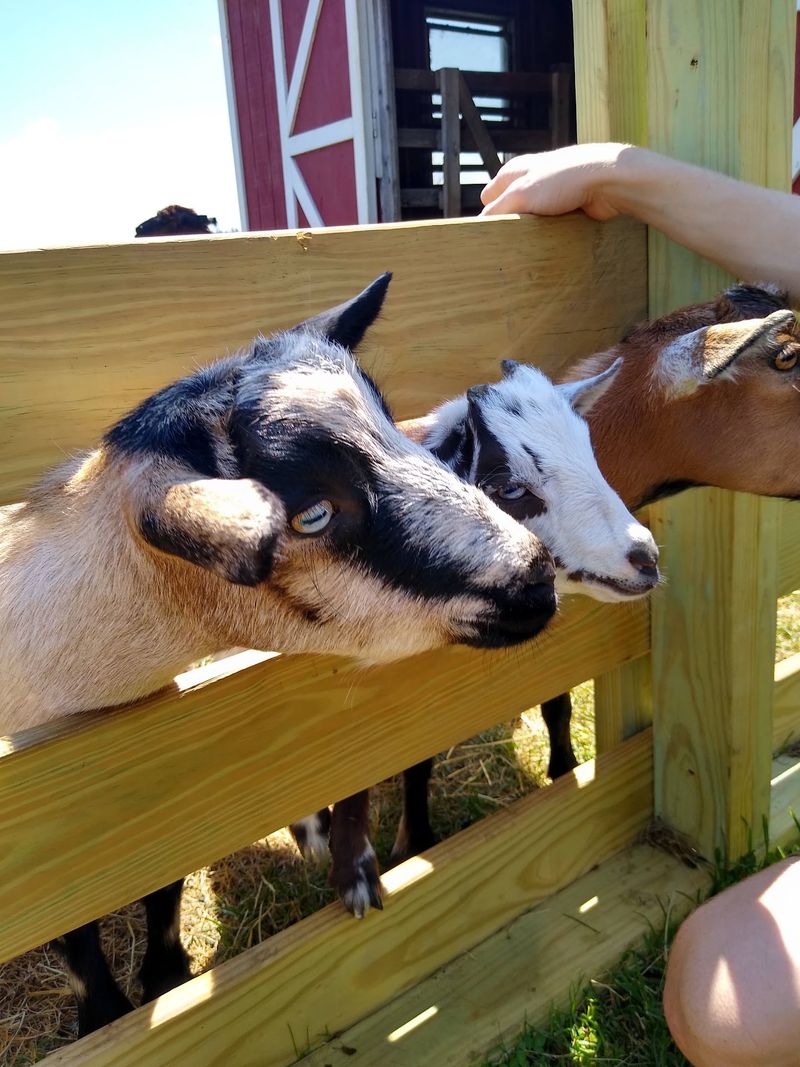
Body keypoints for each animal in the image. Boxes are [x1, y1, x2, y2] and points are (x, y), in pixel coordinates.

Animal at [1, 273, 559, 1036]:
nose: (537, 577)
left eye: (394, 427)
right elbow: (75, 929)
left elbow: (161, 880)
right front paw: (108, 1016)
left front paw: (165, 976)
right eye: (313, 514)